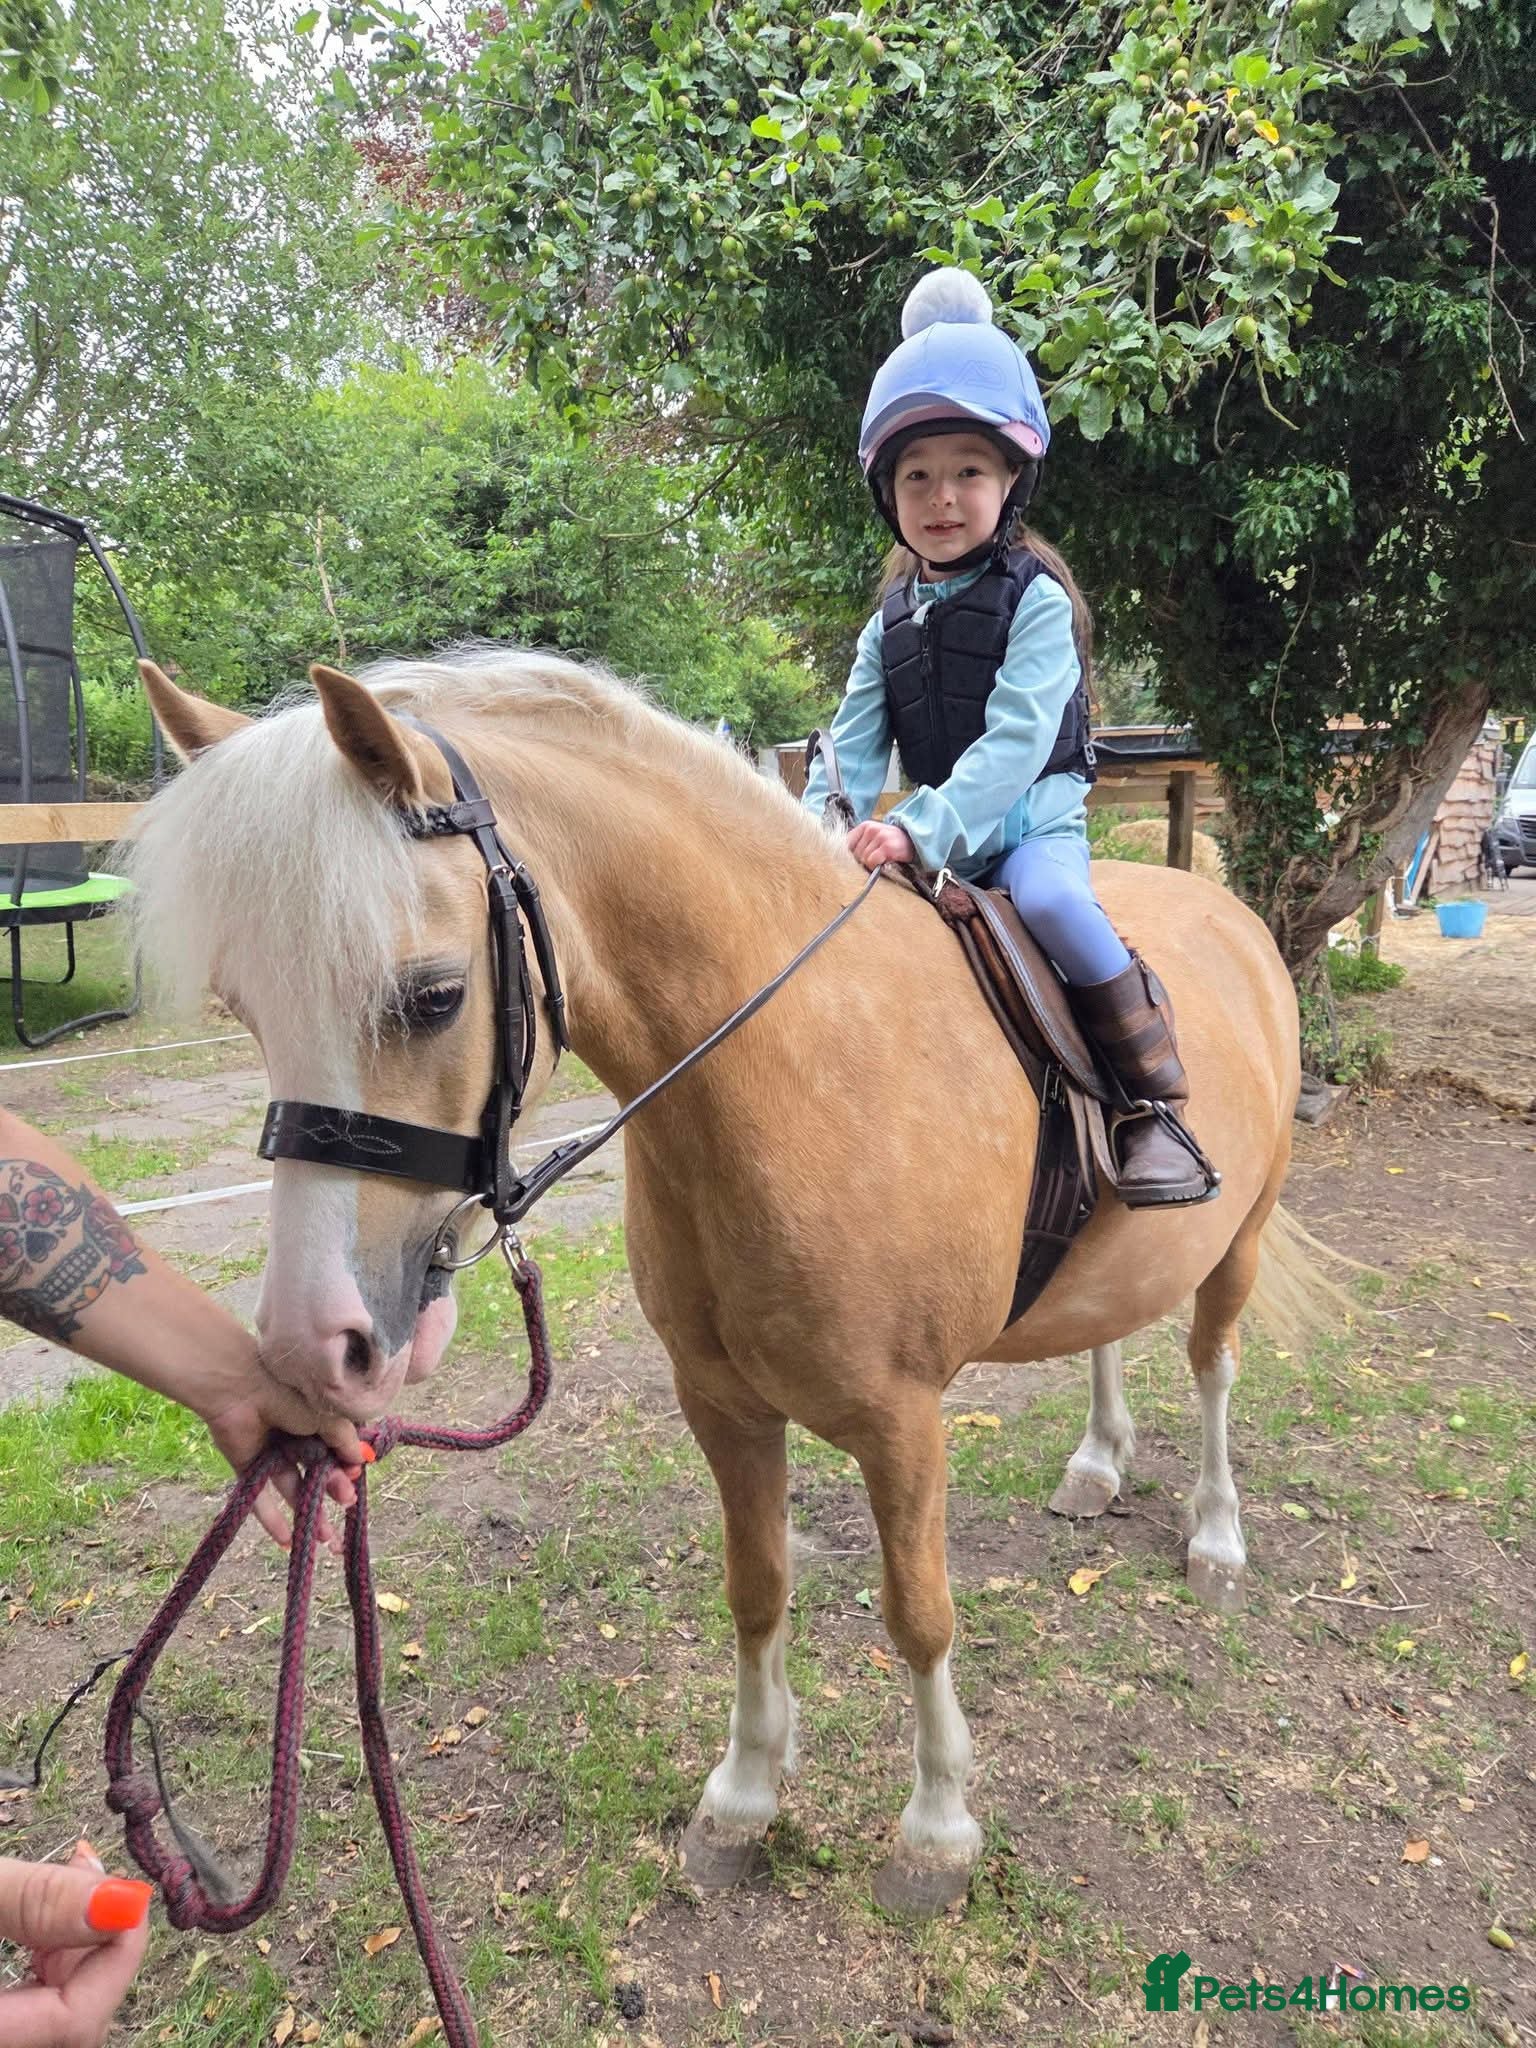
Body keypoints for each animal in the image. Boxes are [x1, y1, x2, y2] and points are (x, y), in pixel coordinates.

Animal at [125, 648, 1331, 1917]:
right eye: (246, 1009)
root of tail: (1230, 914)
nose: (316, 1344)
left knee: (1212, 1366)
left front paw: (936, 1828)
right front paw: (746, 1796)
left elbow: (920, 1615)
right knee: (1109, 1331)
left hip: (1240, 1237)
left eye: (433, 996)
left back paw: (1217, 1536)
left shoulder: (904, 1422)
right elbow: (756, 1587)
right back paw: (1097, 1462)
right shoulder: (721, 1402)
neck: (795, 1065)